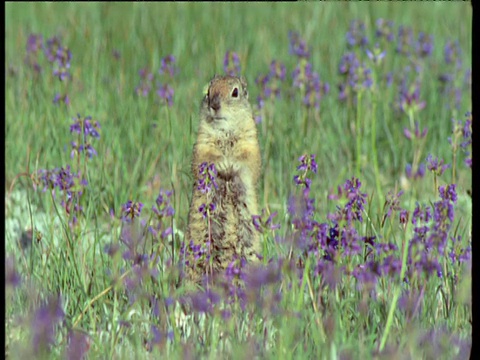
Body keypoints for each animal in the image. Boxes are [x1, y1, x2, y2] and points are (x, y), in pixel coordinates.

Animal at [186, 75, 262, 284]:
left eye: (235, 92)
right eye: (208, 92)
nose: (214, 105)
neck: (226, 133)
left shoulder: (250, 141)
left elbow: (248, 160)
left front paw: (232, 165)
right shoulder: (202, 142)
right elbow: (205, 157)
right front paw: (221, 165)